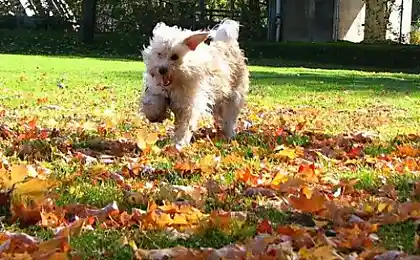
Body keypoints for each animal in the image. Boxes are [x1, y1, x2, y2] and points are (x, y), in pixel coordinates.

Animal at [139, 19, 249, 147]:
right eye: (159, 54)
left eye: (174, 56)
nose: (162, 70)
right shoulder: (157, 90)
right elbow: (151, 102)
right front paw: (155, 115)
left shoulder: (189, 104)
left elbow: (185, 126)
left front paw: (179, 143)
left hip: (233, 98)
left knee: (229, 119)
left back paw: (229, 135)